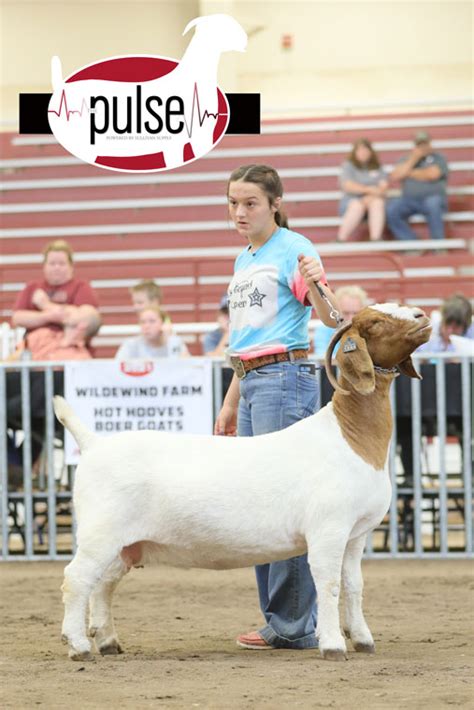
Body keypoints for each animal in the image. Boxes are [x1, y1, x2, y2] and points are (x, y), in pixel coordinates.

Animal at [54, 304, 430, 664]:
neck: (349, 436)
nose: (422, 315)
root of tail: (94, 444)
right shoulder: (329, 529)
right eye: (375, 322)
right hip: (101, 531)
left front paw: (364, 639)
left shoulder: (356, 534)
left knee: (103, 583)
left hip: (126, 543)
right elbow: (329, 583)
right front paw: (333, 645)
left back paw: (107, 641)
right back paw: (78, 645)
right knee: (76, 578)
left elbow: (354, 585)